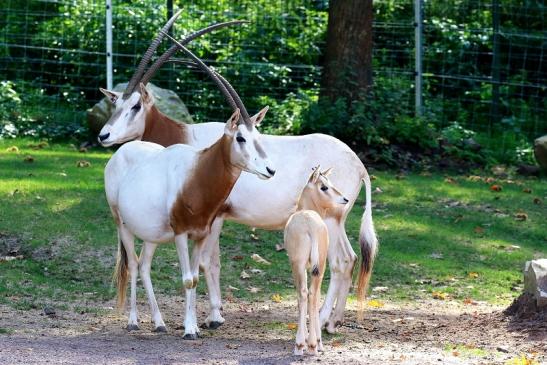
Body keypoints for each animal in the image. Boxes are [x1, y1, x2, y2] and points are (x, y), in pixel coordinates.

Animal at [284, 166, 348, 354]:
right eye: (324, 186)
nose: (345, 199)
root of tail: (310, 224)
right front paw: (317, 342)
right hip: (318, 265)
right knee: (312, 294)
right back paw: (313, 343)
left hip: (298, 265)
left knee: (304, 293)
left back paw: (302, 345)